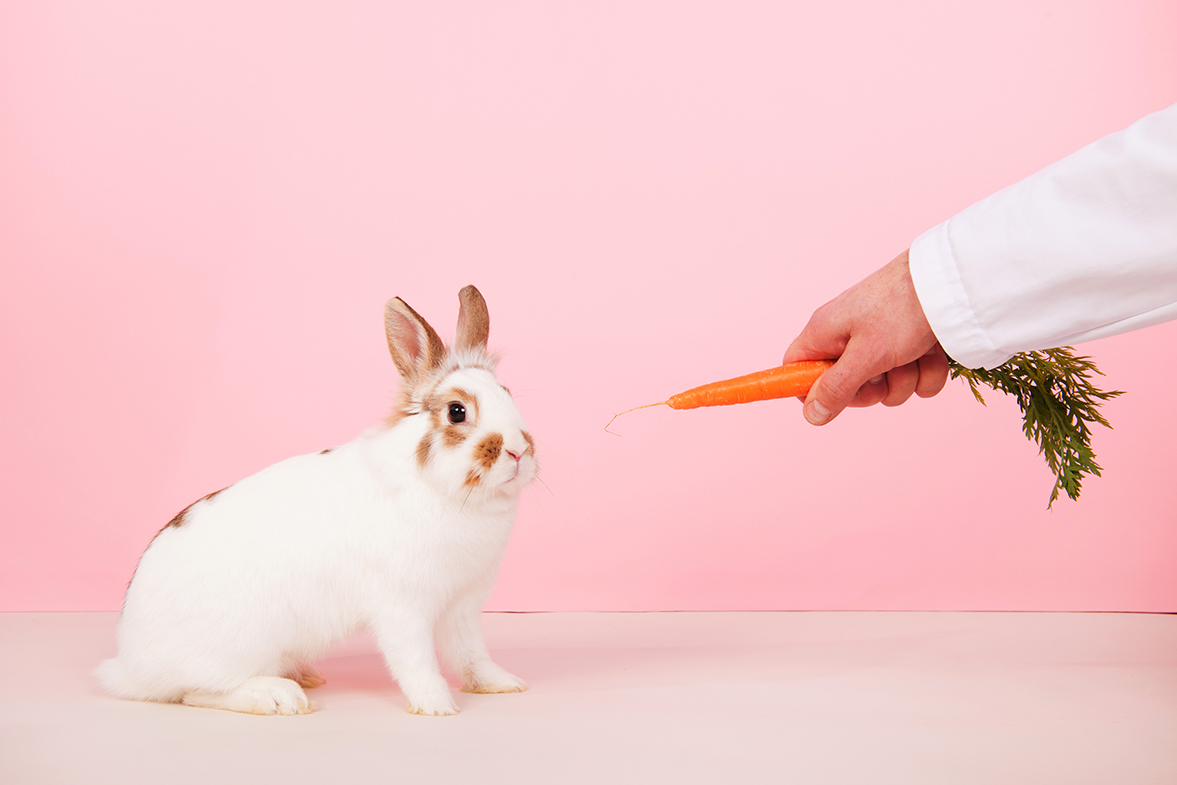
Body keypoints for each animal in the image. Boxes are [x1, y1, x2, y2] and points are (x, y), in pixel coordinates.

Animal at [96, 287, 539, 720]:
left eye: (508, 395)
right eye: (457, 412)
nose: (518, 451)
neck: (447, 492)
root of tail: (131, 662)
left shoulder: (462, 607)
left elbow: (470, 655)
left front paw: (502, 684)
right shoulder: (401, 607)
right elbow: (414, 660)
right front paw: (436, 706)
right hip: (235, 648)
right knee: (197, 692)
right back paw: (278, 696)